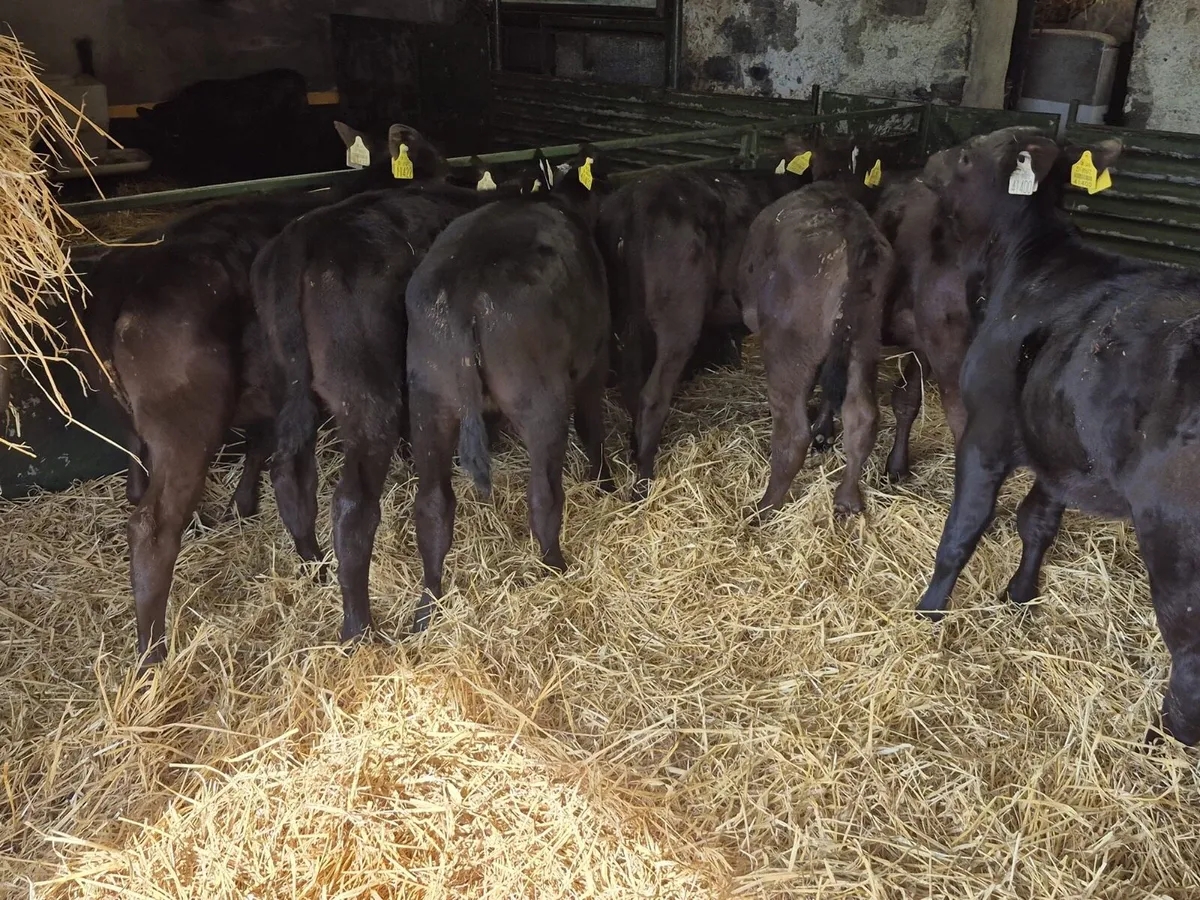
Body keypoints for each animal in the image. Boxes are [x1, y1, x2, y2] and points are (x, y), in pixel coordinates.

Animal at [80, 121, 422, 666]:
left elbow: (265, 451)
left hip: (131, 418)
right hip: (186, 425)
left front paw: (244, 504)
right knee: (152, 527)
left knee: (138, 481)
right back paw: (152, 652)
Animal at [254, 146, 543, 644]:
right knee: (351, 503)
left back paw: (315, 566)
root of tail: (301, 239)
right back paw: (358, 627)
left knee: (291, 474)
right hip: (366, 391)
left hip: (285, 384)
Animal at [405, 148, 613, 633]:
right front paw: (606, 483)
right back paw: (555, 567)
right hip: (541, 400)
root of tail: (463, 291)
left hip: (428, 401)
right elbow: (592, 425)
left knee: (432, 506)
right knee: (543, 494)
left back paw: (427, 605)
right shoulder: (593, 361)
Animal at [737, 180, 895, 517]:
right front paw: (824, 431)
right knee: (861, 415)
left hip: (787, 348)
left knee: (793, 432)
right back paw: (847, 500)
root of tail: (851, 223)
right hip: (864, 338)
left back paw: (763, 508)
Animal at [910, 126, 1200, 745]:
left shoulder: (986, 431)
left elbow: (962, 531)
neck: (1026, 269)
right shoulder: (1060, 451)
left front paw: (929, 609)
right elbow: (1037, 522)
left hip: (1176, 541)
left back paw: (1158, 744)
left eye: (967, 154)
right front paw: (1020, 596)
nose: (930, 161)